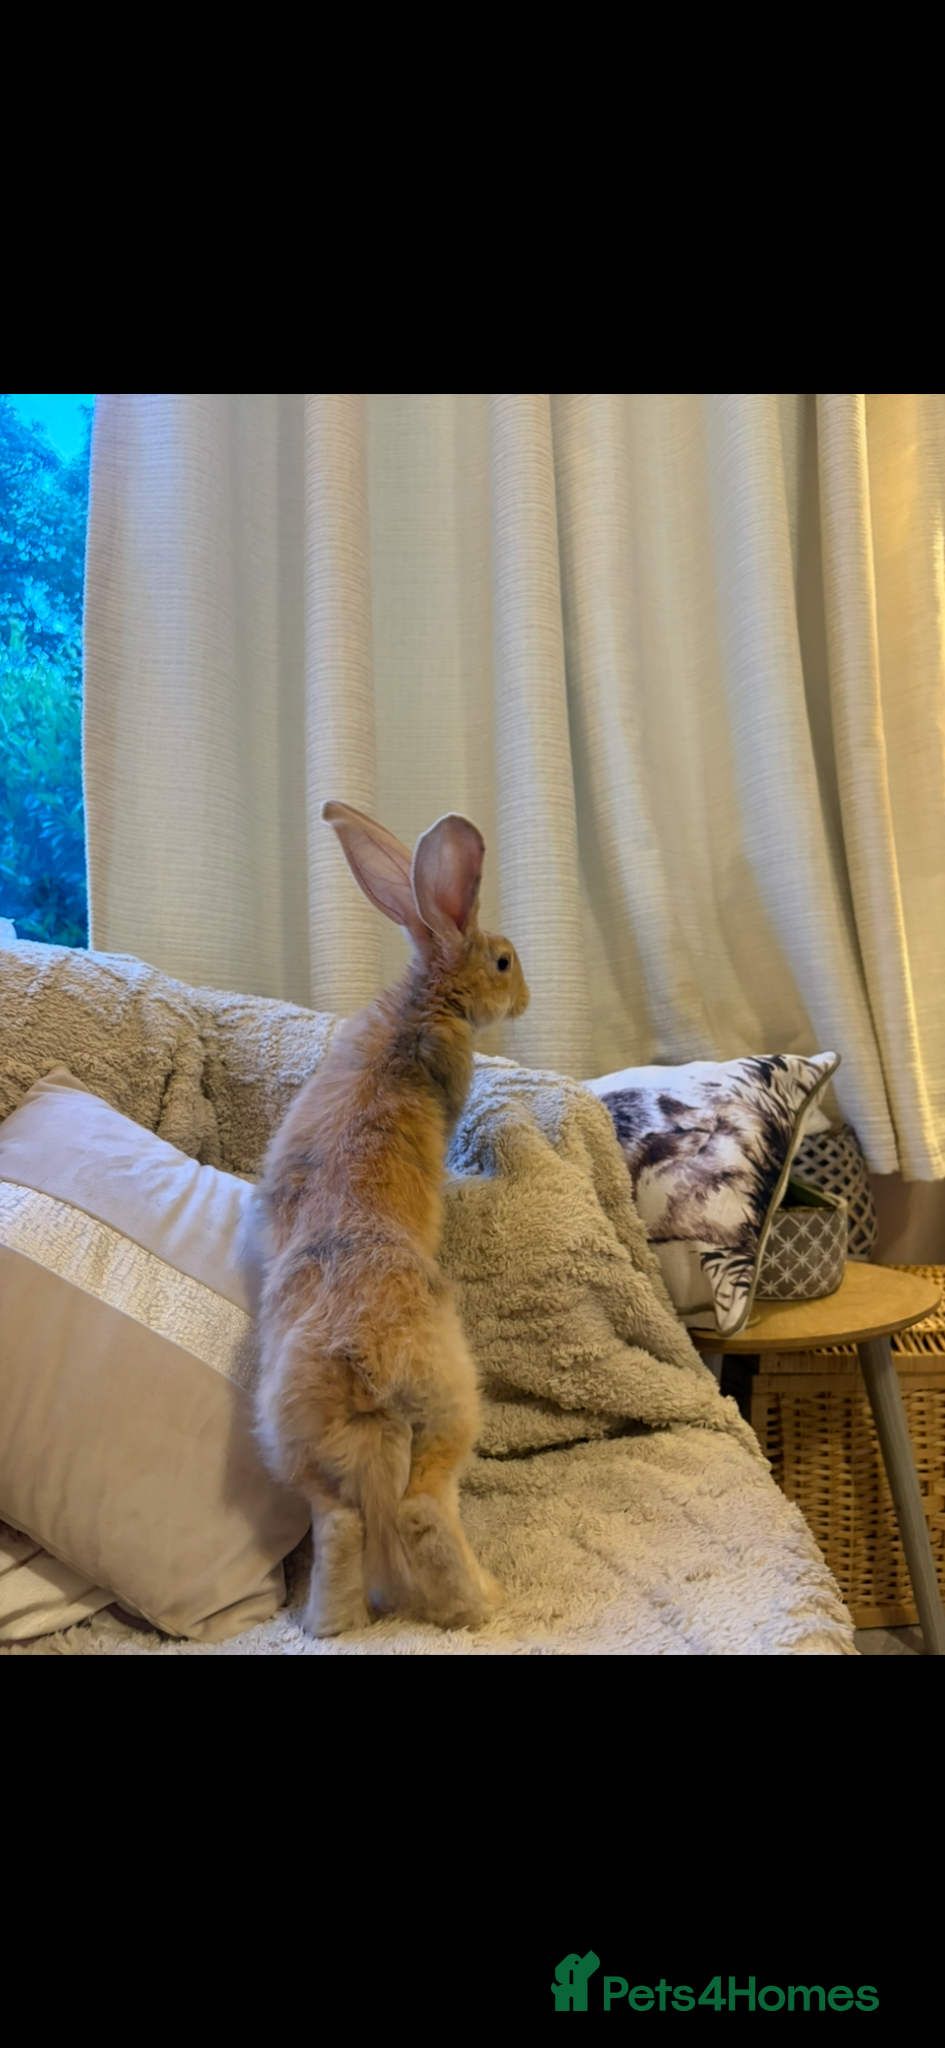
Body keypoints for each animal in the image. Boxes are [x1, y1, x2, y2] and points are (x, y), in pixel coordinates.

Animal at [253, 800, 529, 1637]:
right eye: (502, 961)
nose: (524, 996)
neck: (423, 999)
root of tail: (360, 1360)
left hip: (300, 1449)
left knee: (340, 1522)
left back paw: (328, 1625)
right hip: (446, 1417)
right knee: (419, 1512)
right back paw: (482, 1604)